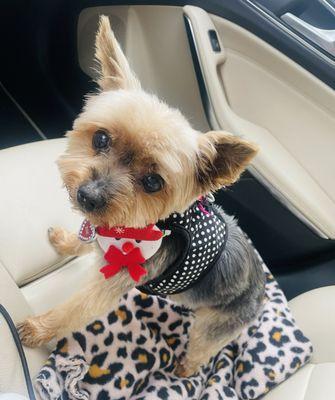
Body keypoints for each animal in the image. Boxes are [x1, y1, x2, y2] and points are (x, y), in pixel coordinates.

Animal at [17, 16, 266, 378]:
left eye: (152, 182)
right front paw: (65, 241)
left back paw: (183, 370)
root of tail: (261, 287)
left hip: (218, 325)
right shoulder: (101, 230)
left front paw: (36, 329)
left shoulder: (112, 281)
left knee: (201, 350)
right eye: (101, 138)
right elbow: (83, 238)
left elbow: (75, 309)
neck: (140, 226)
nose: (88, 196)